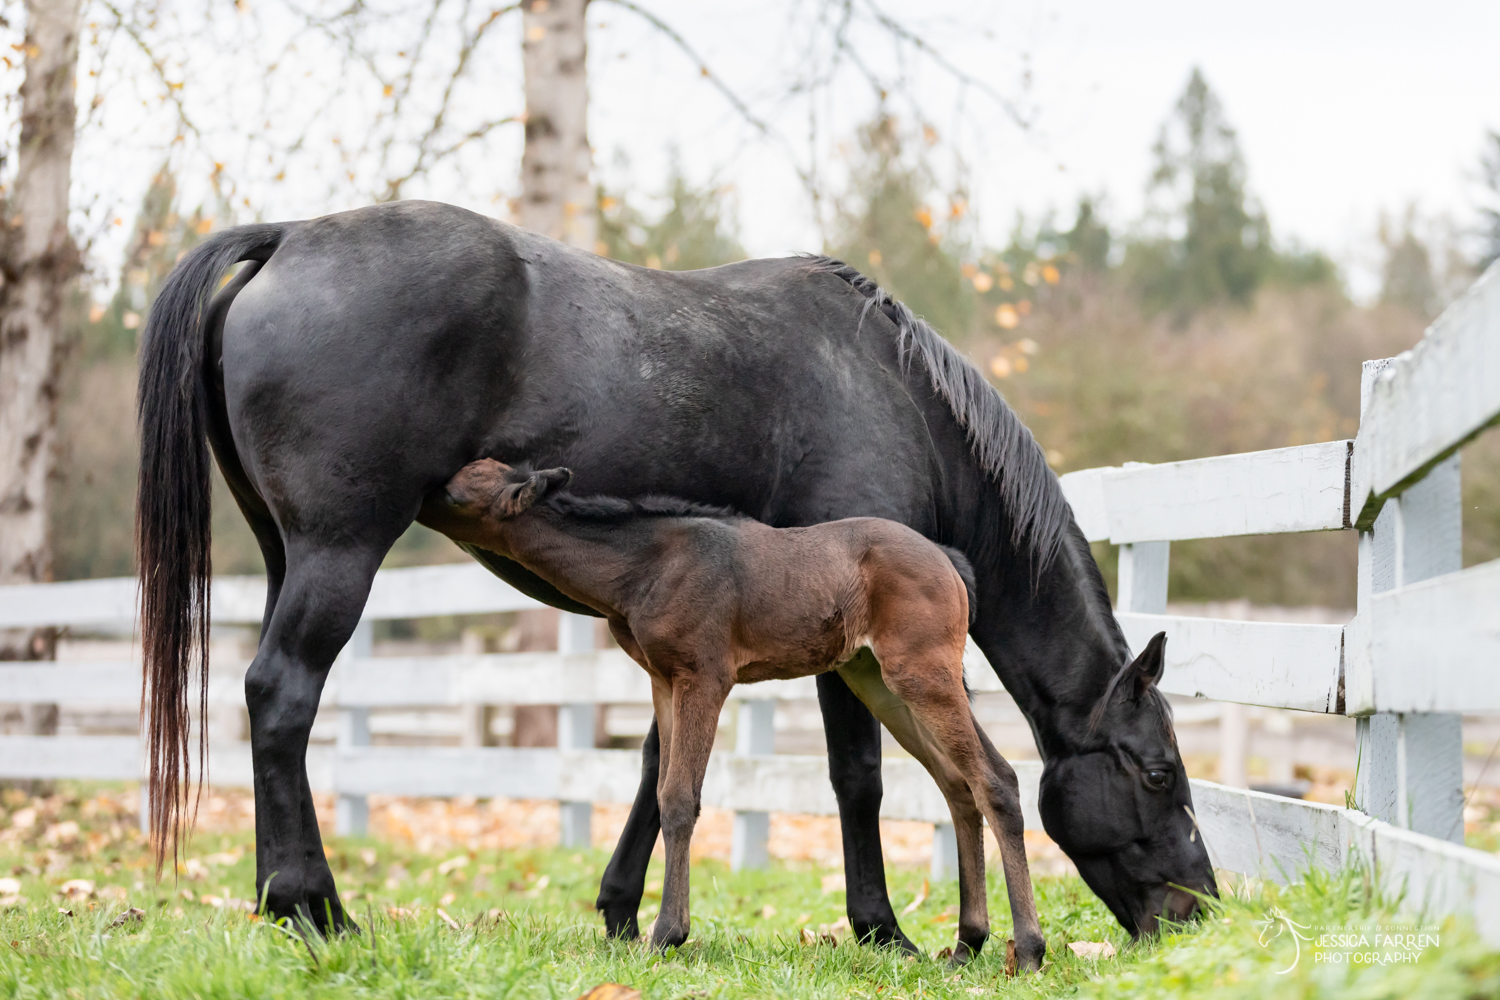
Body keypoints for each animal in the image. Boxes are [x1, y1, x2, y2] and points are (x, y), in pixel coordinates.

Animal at [414, 461, 1044, 971]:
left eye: (455, 492)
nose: (412, 493)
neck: (644, 564)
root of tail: (948, 559)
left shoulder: (705, 678)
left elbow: (679, 798)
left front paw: (666, 935)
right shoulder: (663, 681)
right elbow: (664, 788)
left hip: (922, 673)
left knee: (995, 779)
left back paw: (1029, 950)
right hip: (879, 682)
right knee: (958, 785)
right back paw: (966, 944)